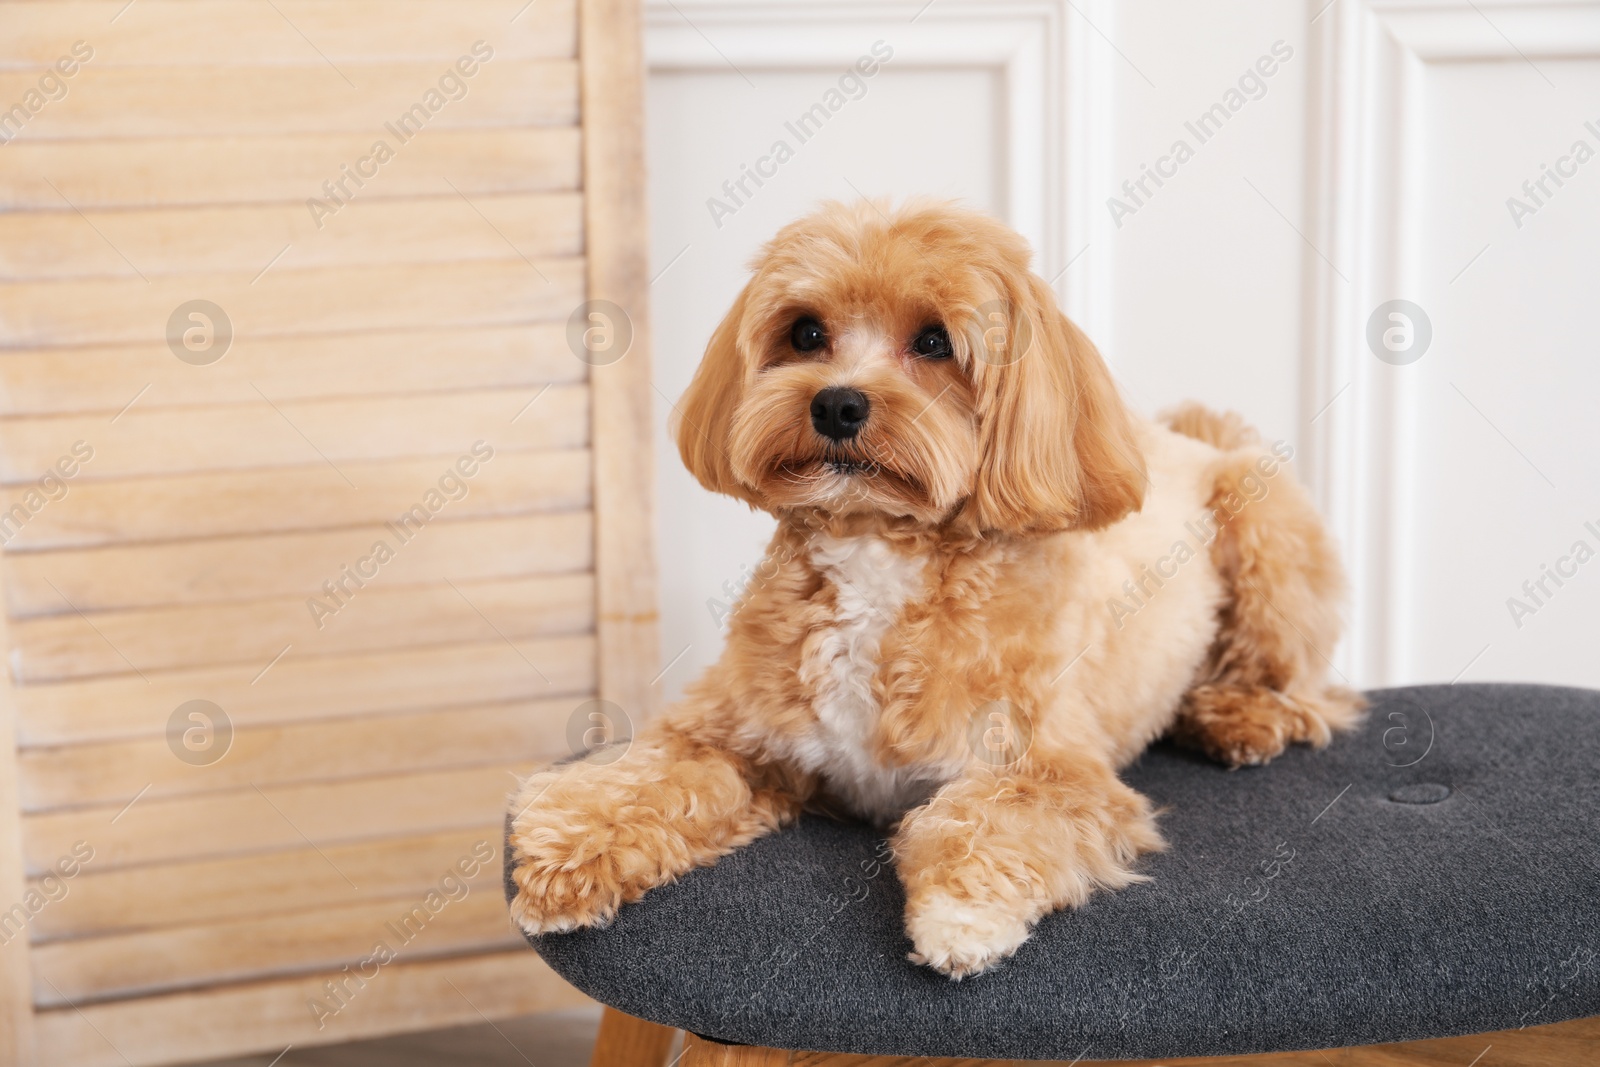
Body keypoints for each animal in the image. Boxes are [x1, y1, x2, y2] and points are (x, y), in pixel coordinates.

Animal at [512, 198, 1363, 979]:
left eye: (933, 342)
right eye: (806, 333)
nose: (837, 402)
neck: (879, 551)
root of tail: (1189, 437)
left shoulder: (1051, 771)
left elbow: (985, 817)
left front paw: (962, 912)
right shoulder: (728, 733)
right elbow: (643, 779)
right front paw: (564, 857)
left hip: (1266, 529)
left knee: (1303, 687)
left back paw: (1237, 715)